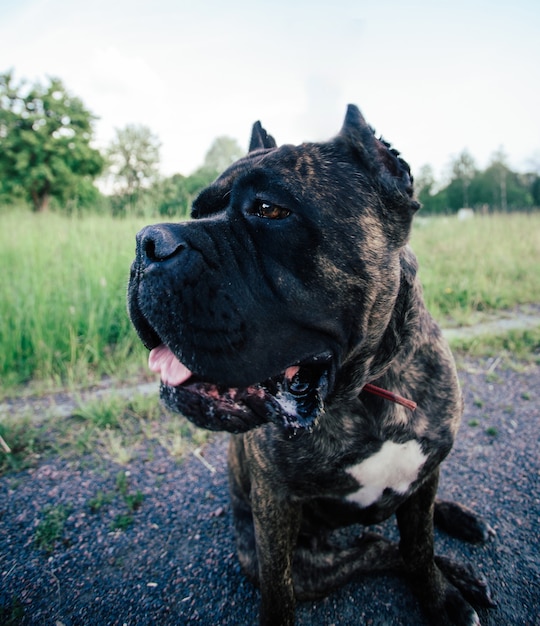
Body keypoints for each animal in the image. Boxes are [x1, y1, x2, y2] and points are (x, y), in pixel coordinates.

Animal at [126, 105, 494, 620]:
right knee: (376, 547)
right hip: (290, 556)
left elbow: (420, 543)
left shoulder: (424, 471)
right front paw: (445, 593)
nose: (148, 242)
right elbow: (285, 589)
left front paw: (438, 597)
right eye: (196, 212)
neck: (366, 391)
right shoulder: (276, 510)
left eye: (269, 210)